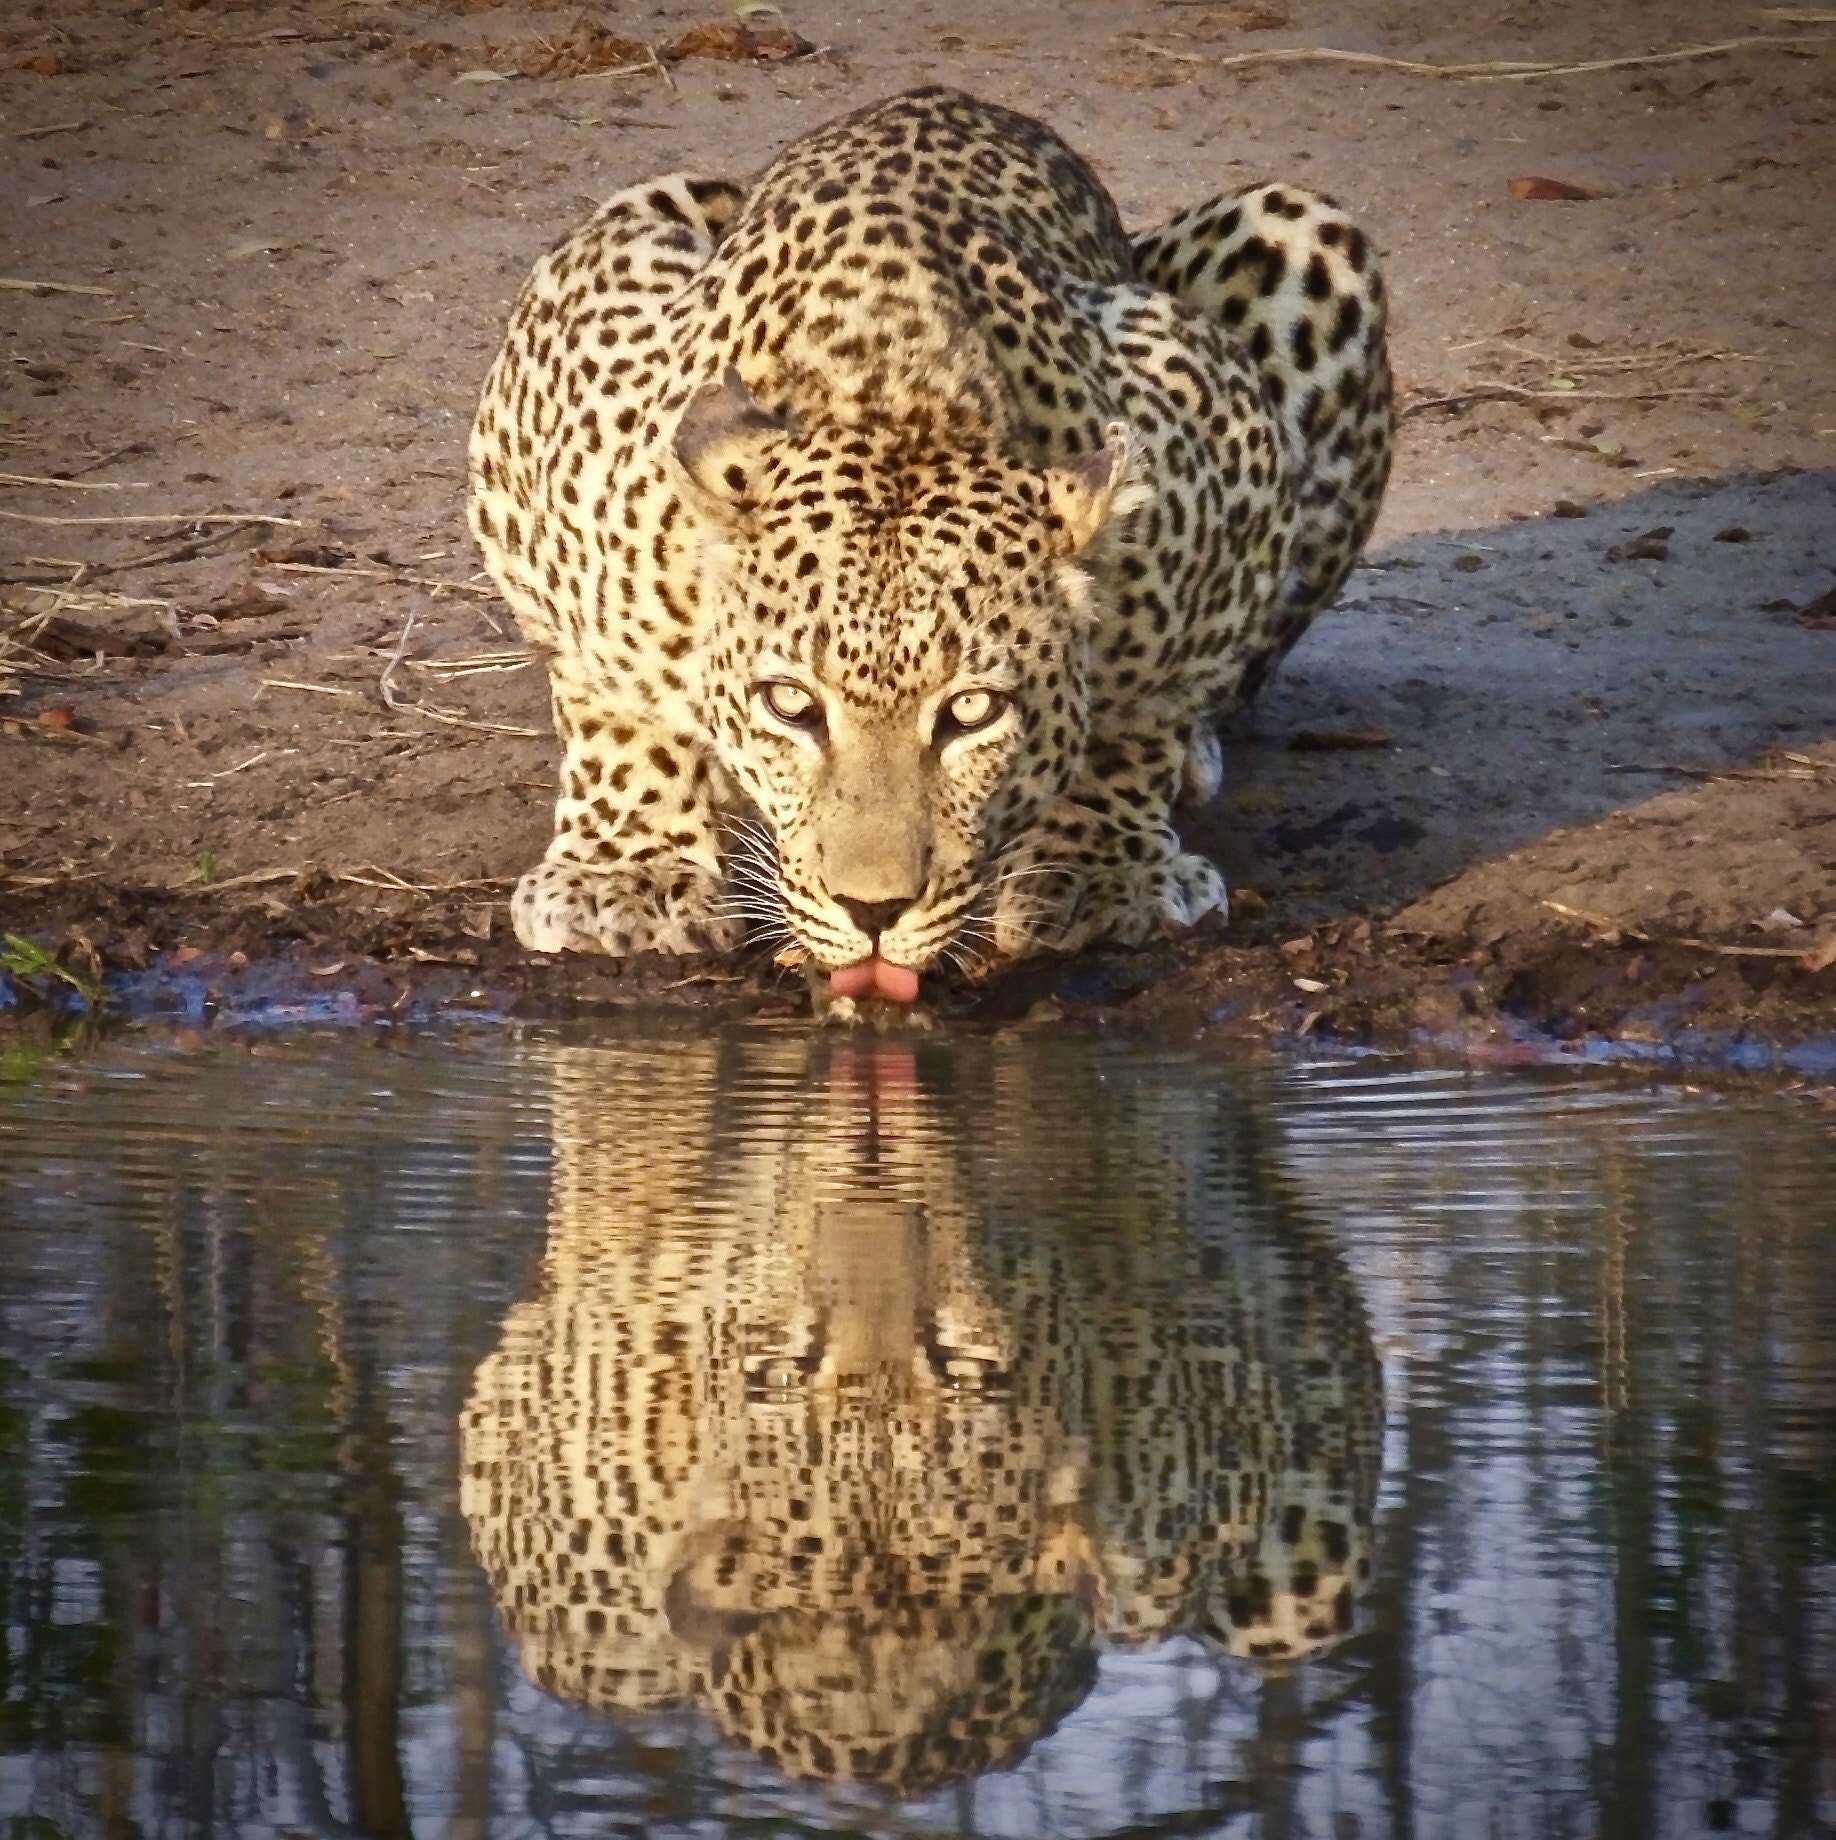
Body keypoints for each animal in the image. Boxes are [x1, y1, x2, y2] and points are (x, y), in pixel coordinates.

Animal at [470, 86, 1390, 1000]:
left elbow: (1143, 709)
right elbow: (609, 700)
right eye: (790, 704)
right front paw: (626, 875)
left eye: (972, 711)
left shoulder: (1217, 436)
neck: (893, 394)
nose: (873, 910)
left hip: (1304, 232)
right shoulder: (557, 380)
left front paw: (1101, 871)